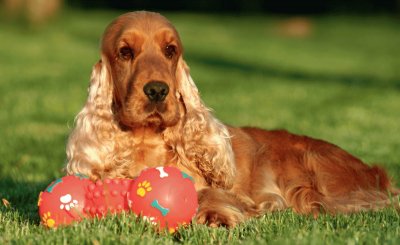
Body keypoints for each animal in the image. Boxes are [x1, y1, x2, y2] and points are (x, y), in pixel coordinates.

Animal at [65, 11, 396, 226]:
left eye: (170, 50)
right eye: (125, 52)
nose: (158, 90)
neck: (147, 142)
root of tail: (376, 174)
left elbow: (212, 194)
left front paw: (216, 216)